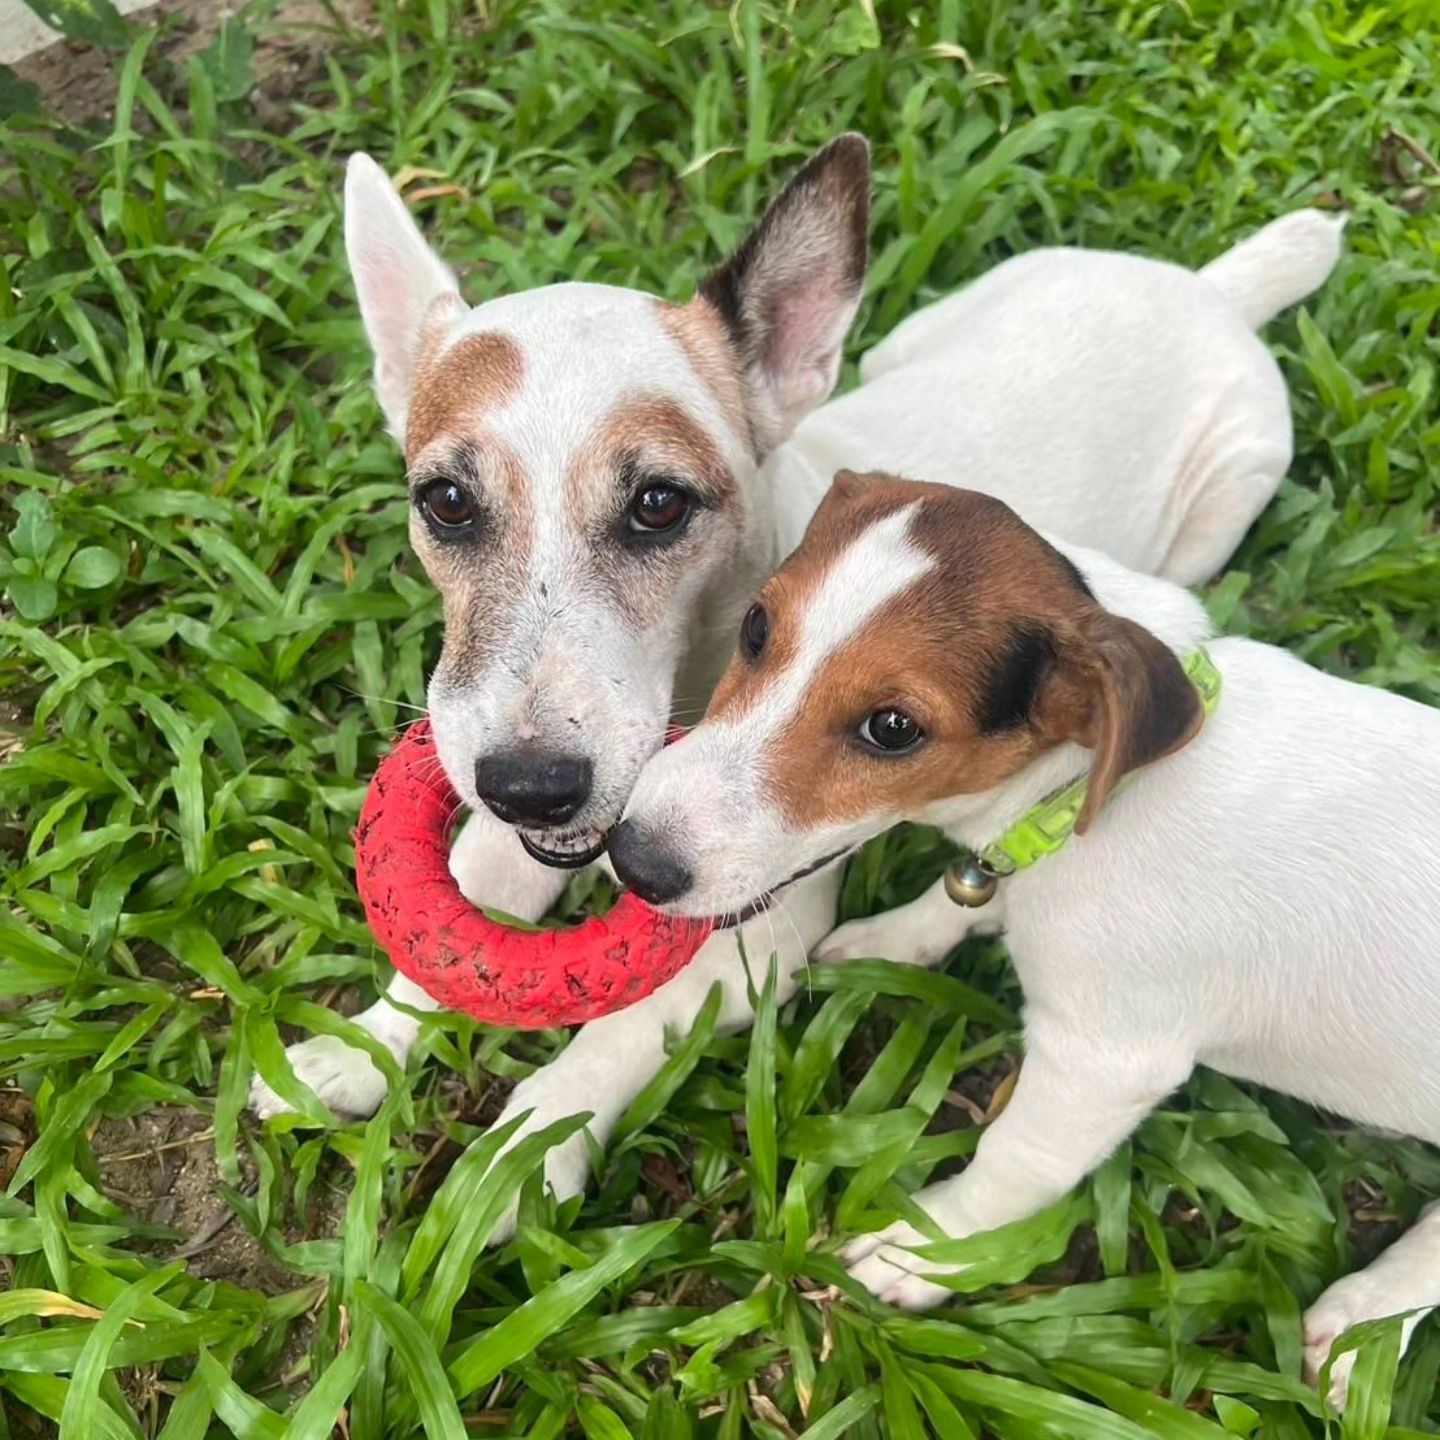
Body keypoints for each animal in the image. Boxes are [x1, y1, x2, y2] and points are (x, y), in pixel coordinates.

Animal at [247, 137, 1336, 1249]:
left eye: (659, 503)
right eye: (447, 502)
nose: (533, 788)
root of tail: (1214, 290)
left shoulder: (759, 930)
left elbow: (614, 1031)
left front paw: (523, 1152)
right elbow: (454, 929)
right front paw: (357, 1048)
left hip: (1224, 502)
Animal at [610, 472, 1440, 1405]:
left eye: (893, 729)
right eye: (755, 628)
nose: (631, 857)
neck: (1088, 789)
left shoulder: (1104, 1061)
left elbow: (1015, 1161)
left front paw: (929, 1250)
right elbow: (965, 896)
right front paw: (889, 942)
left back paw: (1365, 1320)